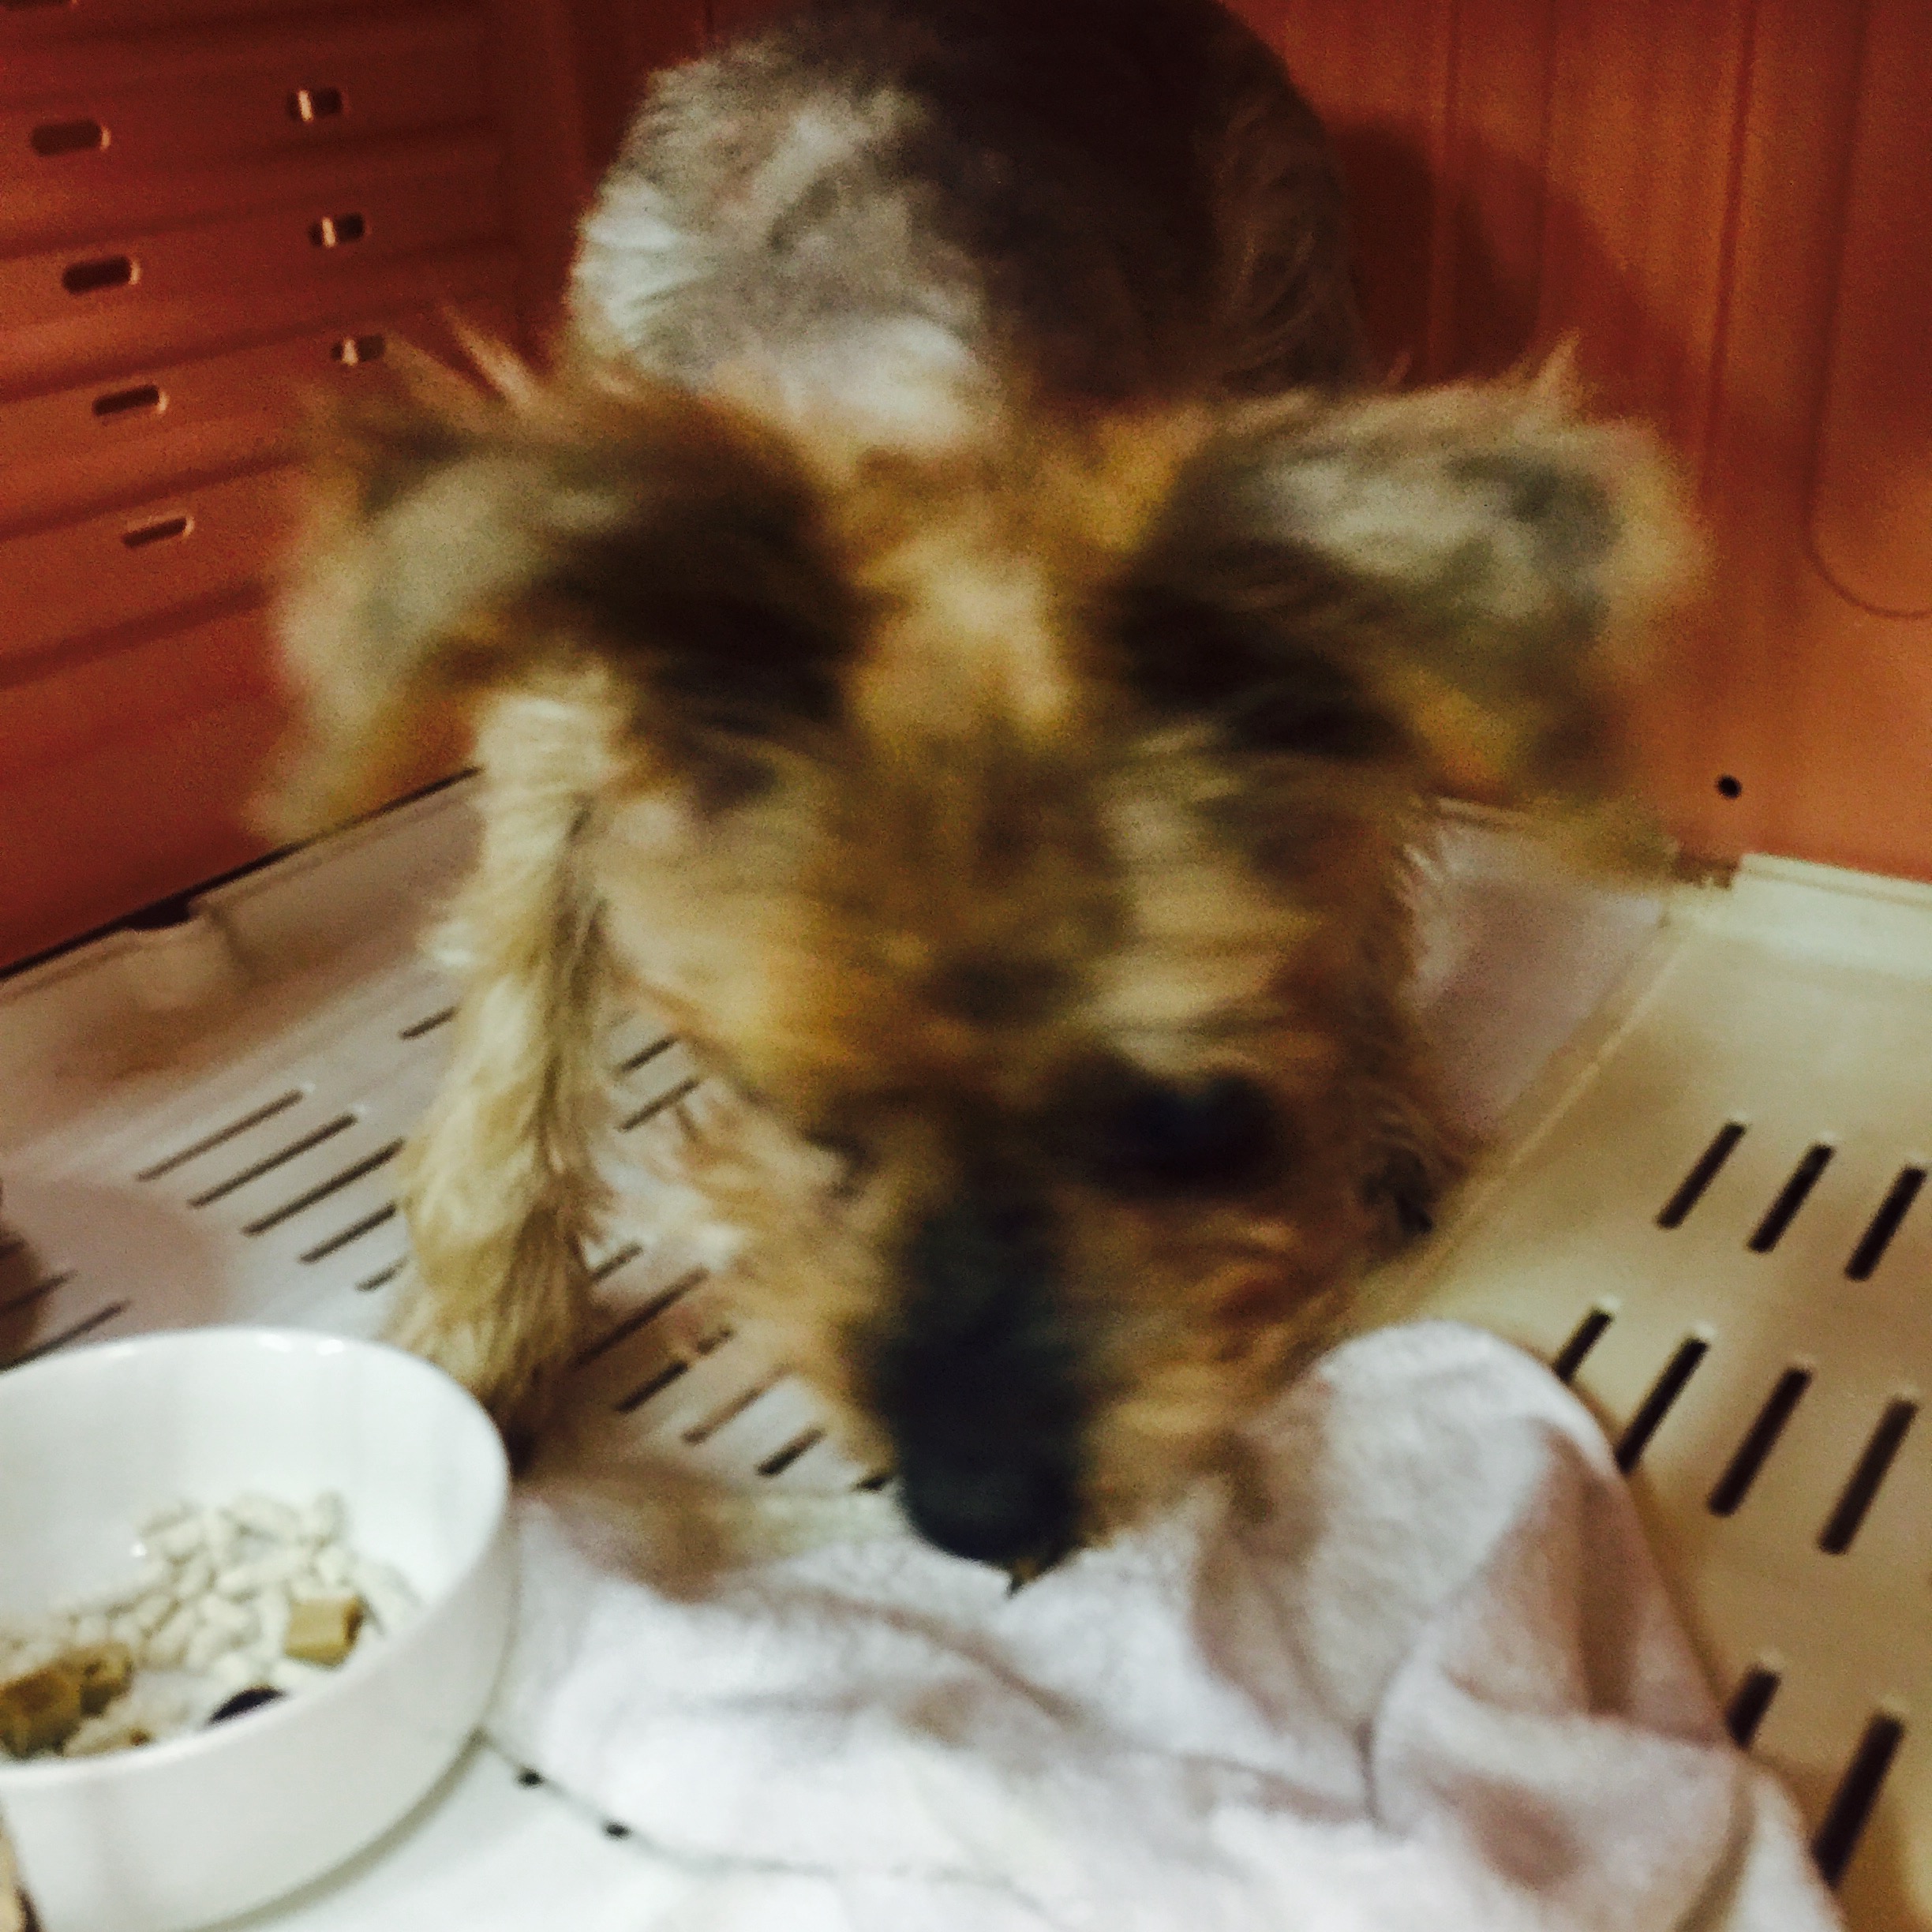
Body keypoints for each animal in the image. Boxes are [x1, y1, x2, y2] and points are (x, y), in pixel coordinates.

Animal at [273, 0, 1689, 1578]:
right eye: (791, 1101)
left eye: (1186, 1121)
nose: (979, 1510)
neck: (938, 429)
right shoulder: (565, 723)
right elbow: (513, 1050)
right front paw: (476, 1351)